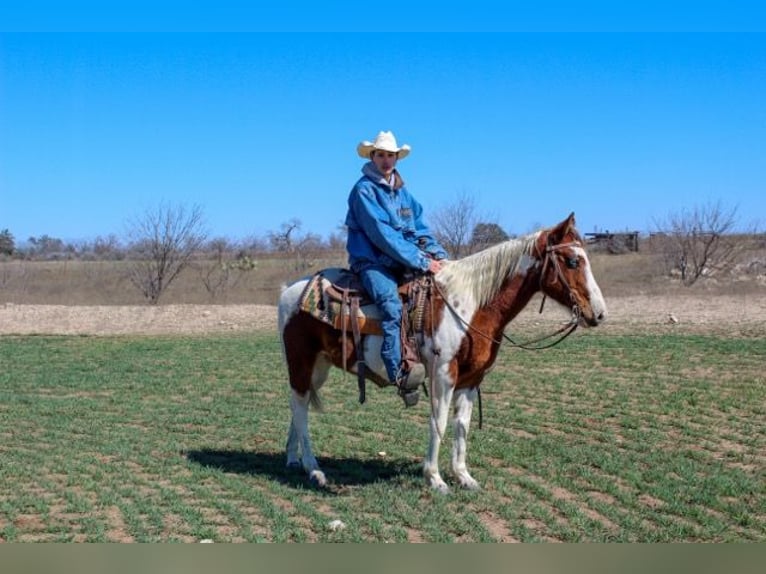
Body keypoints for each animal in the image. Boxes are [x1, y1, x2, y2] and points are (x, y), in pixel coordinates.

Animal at [280, 214, 608, 492]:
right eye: (572, 261)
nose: (599, 313)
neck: (472, 304)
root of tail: (288, 291)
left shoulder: (471, 379)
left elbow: (462, 425)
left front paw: (464, 476)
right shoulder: (443, 373)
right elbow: (438, 420)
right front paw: (435, 479)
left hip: (319, 367)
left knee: (300, 406)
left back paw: (295, 460)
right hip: (301, 361)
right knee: (300, 407)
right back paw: (314, 469)